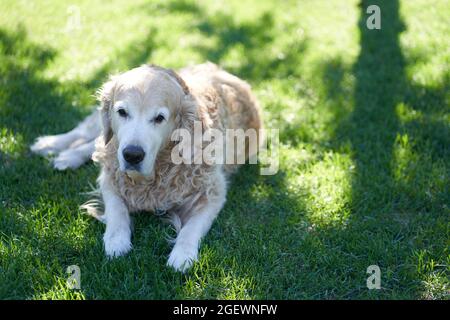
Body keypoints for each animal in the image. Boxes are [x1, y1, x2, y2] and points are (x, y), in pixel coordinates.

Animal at [30, 63, 260, 272]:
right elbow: (117, 210)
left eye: (159, 118)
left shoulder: (213, 193)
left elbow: (191, 228)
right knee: (88, 136)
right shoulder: (111, 178)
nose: (132, 155)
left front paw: (182, 254)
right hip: (103, 131)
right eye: (122, 112)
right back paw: (53, 146)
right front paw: (117, 241)